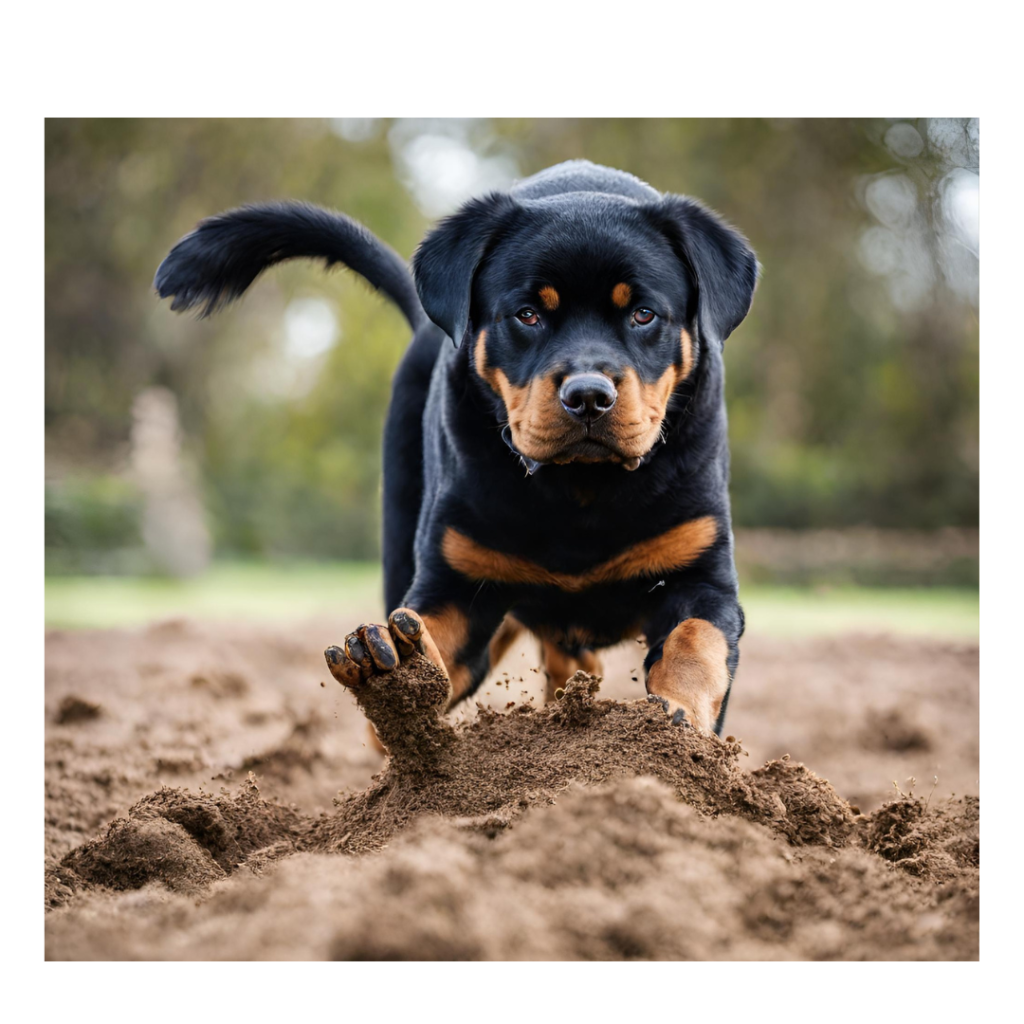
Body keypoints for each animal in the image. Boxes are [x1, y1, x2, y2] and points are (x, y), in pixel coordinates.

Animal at [155, 157, 757, 737]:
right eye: (527, 314)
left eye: (643, 314)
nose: (588, 395)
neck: (579, 490)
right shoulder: (457, 582)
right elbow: (434, 640)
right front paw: (398, 670)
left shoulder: (701, 574)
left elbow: (696, 640)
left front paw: (676, 721)